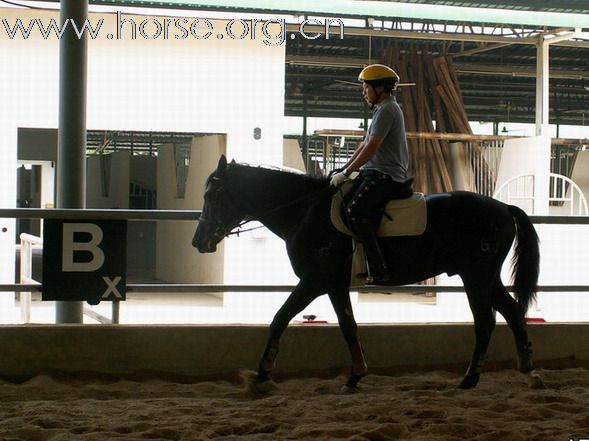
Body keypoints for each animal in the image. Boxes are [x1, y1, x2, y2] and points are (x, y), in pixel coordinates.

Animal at [193, 156, 544, 390]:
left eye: (212, 195)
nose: (199, 241)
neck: (305, 212)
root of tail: (504, 208)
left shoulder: (314, 280)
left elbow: (280, 318)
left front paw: (263, 375)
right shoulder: (333, 284)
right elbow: (348, 325)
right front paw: (355, 375)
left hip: (477, 276)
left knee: (485, 321)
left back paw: (471, 379)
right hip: (486, 277)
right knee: (512, 312)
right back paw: (528, 371)